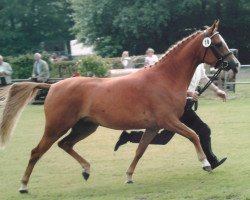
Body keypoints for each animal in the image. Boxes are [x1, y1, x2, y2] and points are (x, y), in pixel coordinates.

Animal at [0, 19, 240, 192]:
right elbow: (194, 135)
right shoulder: (169, 121)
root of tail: (53, 86)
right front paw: (206, 163)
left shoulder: (153, 126)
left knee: (65, 145)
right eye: (218, 44)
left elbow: (140, 150)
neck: (165, 78)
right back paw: (23, 186)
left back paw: (86, 170)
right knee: (36, 151)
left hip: (85, 127)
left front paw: (129, 176)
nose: (235, 65)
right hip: (56, 127)